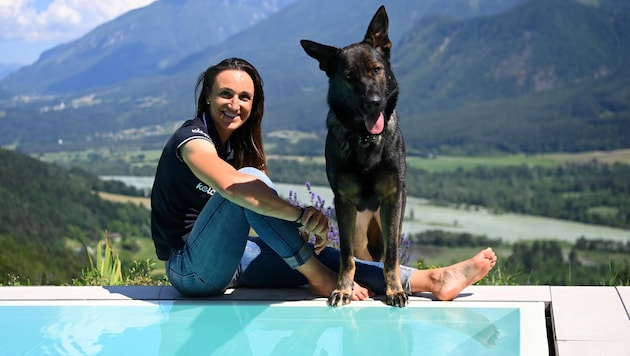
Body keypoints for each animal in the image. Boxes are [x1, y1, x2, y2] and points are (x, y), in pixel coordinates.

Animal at [302, 4, 410, 306]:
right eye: (349, 77)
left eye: (376, 70)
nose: (374, 102)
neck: (366, 139)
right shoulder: (344, 202)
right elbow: (346, 256)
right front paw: (343, 289)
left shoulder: (393, 198)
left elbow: (392, 257)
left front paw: (394, 290)